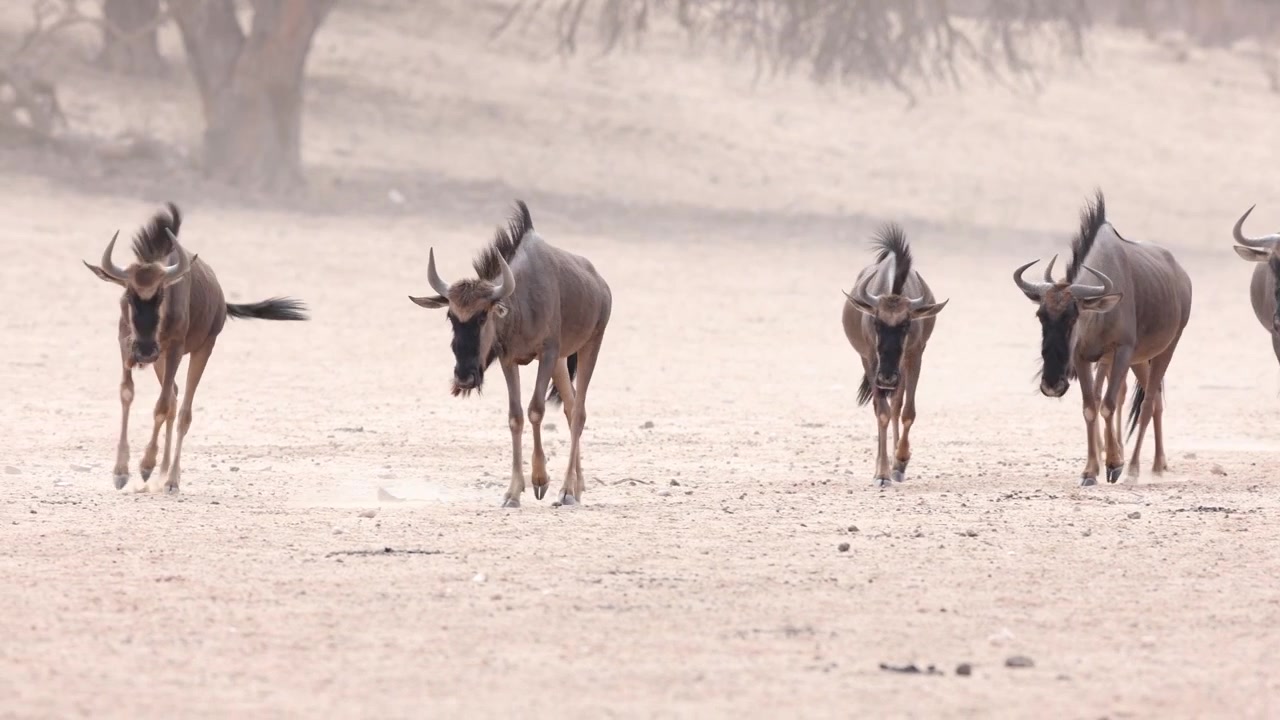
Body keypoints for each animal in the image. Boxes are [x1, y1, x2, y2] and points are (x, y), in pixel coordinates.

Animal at [83, 203, 309, 494]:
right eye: (128, 296)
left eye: (161, 295)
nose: (144, 351)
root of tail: (221, 300)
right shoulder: (126, 345)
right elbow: (127, 393)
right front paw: (121, 472)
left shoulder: (175, 350)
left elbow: (161, 406)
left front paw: (145, 466)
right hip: (160, 361)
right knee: (175, 397)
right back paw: (163, 472)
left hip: (200, 349)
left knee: (182, 411)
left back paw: (170, 479)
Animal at [409, 200, 612, 507]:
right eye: (451, 316)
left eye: (483, 316)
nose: (464, 377)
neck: (521, 303)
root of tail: (601, 286)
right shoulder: (510, 360)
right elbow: (515, 417)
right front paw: (513, 492)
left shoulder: (547, 354)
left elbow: (536, 410)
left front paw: (540, 479)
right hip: (562, 362)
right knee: (570, 405)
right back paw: (577, 487)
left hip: (590, 345)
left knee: (579, 412)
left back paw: (566, 490)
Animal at [842, 223, 949, 488]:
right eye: (876, 322)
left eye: (906, 324)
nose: (887, 378)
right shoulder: (871, 360)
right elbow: (882, 412)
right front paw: (881, 474)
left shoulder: (914, 356)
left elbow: (906, 412)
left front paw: (899, 462)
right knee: (883, 407)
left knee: (897, 406)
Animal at [1013, 191, 1192, 486]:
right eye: (1040, 315)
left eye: (1073, 316)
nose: (1052, 385)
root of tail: (1182, 277)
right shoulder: (1084, 357)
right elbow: (1090, 406)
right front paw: (1090, 471)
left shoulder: (1121, 351)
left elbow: (1107, 405)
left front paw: (1114, 465)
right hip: (1139, 360)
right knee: (1151, 401)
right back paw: (1158, 464)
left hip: (1166, 349)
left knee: (1147, 403)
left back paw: (1135, 469)